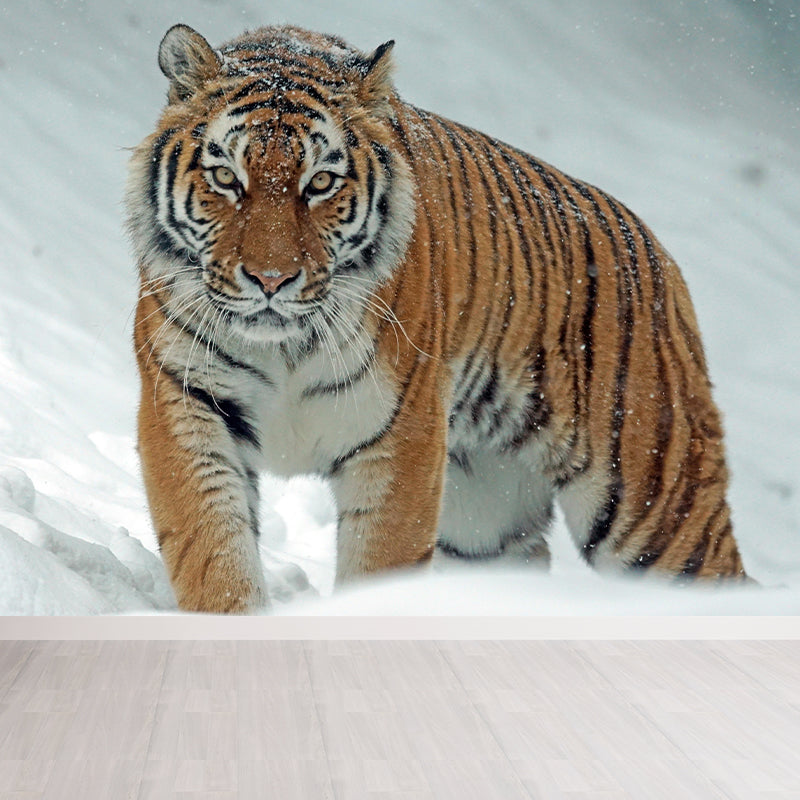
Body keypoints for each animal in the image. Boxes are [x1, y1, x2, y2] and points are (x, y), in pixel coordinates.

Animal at [126, 23, 748, 613]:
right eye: (226, 178)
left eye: (320, 183)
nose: (272, 280)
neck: (284, 347)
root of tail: (659, 254)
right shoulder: (186, 404)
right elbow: (213, 554)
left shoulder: (402, 436)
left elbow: (379, 566)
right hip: (485, 521)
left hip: (655, 504)